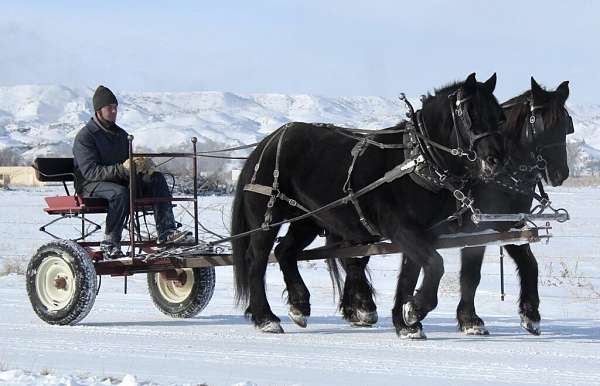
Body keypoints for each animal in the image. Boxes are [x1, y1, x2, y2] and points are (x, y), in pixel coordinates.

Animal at [231, 74, 506, 334]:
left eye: (500, 118)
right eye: (471, 114)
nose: (495, 161)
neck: (415, 161)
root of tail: (267, 142)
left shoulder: (421, 234)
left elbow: (411, 273)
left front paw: (407, 321)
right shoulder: (401, 229)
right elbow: (435, 265)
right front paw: (416, 309)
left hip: (308, 219)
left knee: (285, 251)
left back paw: (299, 305)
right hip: (267, 218)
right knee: (256, 260)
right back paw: (266, 318)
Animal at [328, 77, 572, 338]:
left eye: (566, 126)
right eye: (544, 126)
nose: (560, 173)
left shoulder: (506, 226)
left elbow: (529, 265)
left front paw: (530, 316)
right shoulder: (475, 231)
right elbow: (471, 275)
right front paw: (469, 320)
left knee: (352, 259)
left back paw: (357, 309)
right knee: (354, 260)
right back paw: (362, 308)